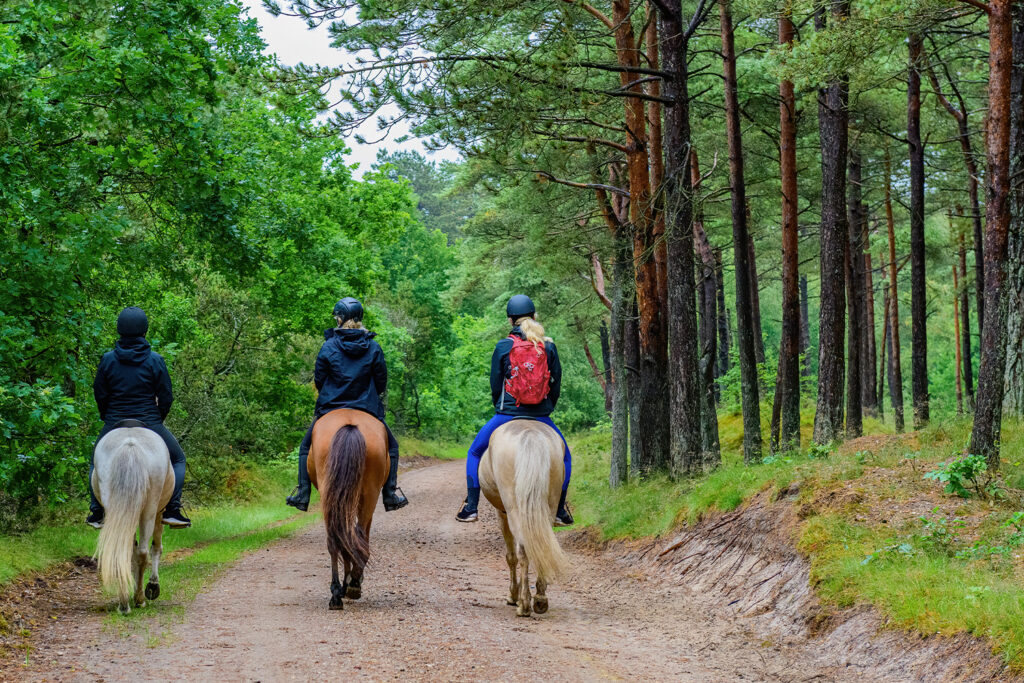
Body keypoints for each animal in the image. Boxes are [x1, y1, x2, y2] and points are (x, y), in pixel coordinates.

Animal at [92, 419, 174, 618]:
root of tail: (130, 444)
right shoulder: (159, 513)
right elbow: (156, 548)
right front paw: (152, 586)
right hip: (150, 509)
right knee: (143, 551)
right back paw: (139, 599)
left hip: (115, 507)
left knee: (122, 550)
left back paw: (124, 603)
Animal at [307, 409, 387, 610]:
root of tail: (349, 426)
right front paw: (350, 582)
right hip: (369, 495)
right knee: (357, 537)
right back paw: (353, 585)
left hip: (330, 496)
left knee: (336, 541)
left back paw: (337, 594)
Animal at [477, 419, 569, 618]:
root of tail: (530, 435)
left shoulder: (501, 513)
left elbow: (510, 556)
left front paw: (513, 595)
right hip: (548, 506)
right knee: (541, 544)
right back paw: (540, 599)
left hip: (513, 510)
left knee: (523, 550)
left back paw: (524, 604)